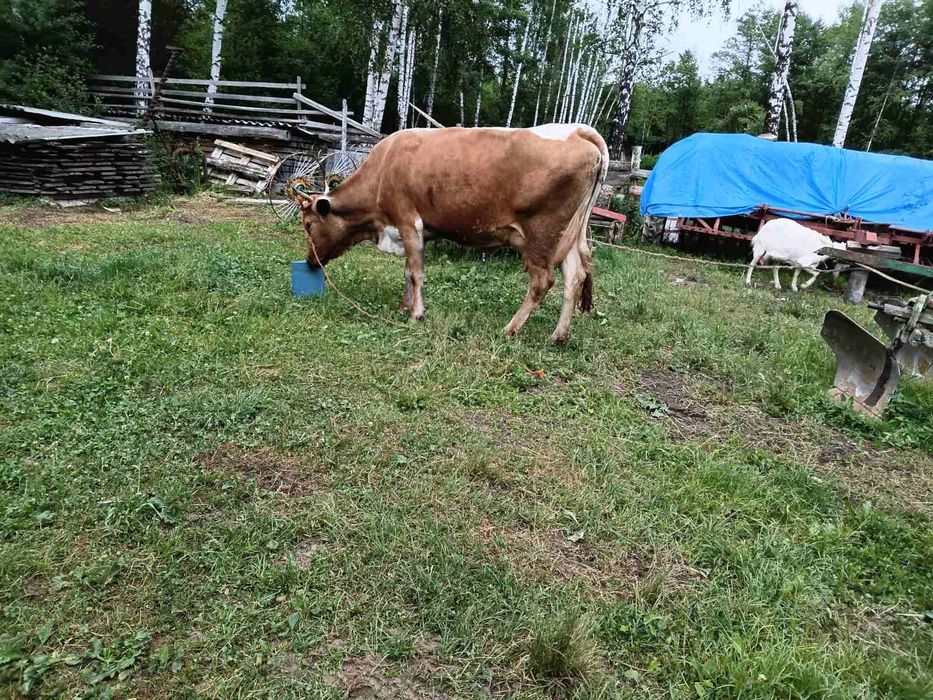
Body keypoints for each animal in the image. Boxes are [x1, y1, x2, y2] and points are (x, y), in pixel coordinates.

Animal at [297, 123, 609, 342]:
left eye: (309, 224)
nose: (311, 262)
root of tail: (578, 131)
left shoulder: (408, 220)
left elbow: (416, 271)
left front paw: (416, 314)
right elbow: (408, 272)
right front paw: (404, 306)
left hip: (541, 235)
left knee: (543, 281)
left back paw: (510, 328)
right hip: (569, 236)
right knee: (575, 277)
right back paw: (559, 335)